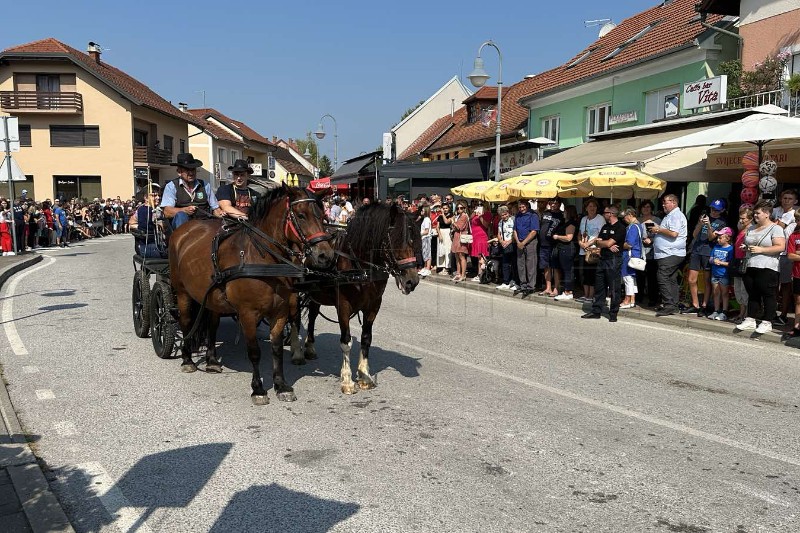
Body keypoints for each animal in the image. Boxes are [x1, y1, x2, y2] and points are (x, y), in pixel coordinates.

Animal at [167, 183, 332, 404]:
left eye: (323, 216)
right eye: (301, 215)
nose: (325, 255)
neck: (262, 259)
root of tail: (183, 230)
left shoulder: (279, 312)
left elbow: (276, 349)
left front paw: (281, 385)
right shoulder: (247, 314)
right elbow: (254, 352)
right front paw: (258, 389)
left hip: (211, 298)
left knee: (212, 325)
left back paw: (211, 360)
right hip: (182, 292)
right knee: (186, 323)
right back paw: (187, 360)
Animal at [292, 202, 418, 392]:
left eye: (413, 239)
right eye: (396, 240)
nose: (412, 281)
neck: (360, 266)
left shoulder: (373, 305)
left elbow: (366, 339)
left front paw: (364, 375)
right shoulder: (343, 305)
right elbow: (346, 341)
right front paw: (347, 380)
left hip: (316, 293)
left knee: (313, 315)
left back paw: (310, 347)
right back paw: (297, 352)